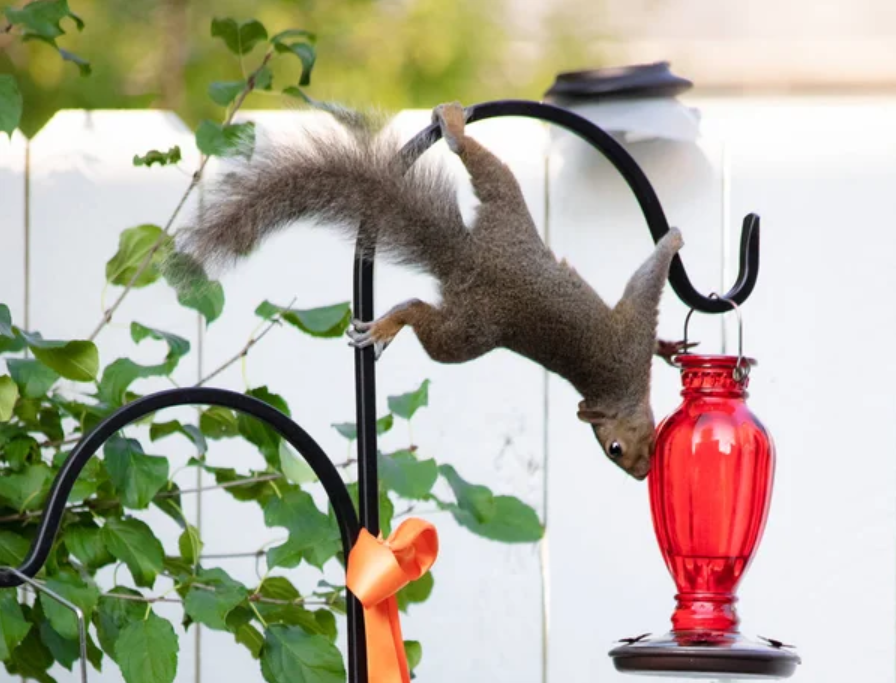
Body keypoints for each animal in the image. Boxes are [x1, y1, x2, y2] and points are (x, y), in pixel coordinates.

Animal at [182, 101, 696, 478]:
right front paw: (671, 240)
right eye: (614, 449)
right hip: (470, 327)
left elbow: (651, 317)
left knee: (488, 175)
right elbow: (646, 281)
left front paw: (670, 347)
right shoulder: (630, 334)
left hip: (504, 218)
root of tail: (464, 259)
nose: (640, 474)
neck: (621, 393)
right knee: (425, 306)